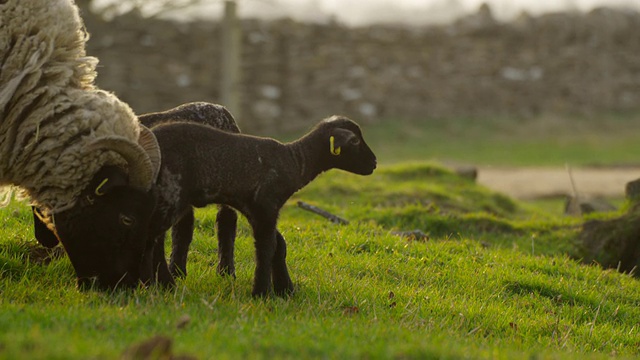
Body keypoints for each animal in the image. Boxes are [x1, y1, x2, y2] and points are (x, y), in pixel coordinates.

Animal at [148, 116, 378, 296]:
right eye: (355, 141)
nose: (374, 163)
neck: (295, 161)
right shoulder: (266, 206)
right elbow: (267, 248)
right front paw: (262, 292)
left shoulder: (258, 209)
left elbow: (279, 244)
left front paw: (285, 288)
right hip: (170, 194)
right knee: (151, 237)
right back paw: (159, 284)